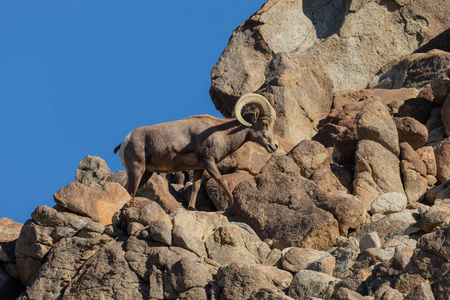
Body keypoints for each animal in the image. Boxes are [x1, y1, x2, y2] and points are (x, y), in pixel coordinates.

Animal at [114, 93, 278, 209]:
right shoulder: (208, 161)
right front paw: (232, 204)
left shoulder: (199, 168)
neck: (222, 133)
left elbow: (196, 187)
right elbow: (222, 180)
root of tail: (125, 141)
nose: (274, 146)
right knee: (131, 191)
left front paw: (192, 208)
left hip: (146, 173)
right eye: (264, 123)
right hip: (137, 169)